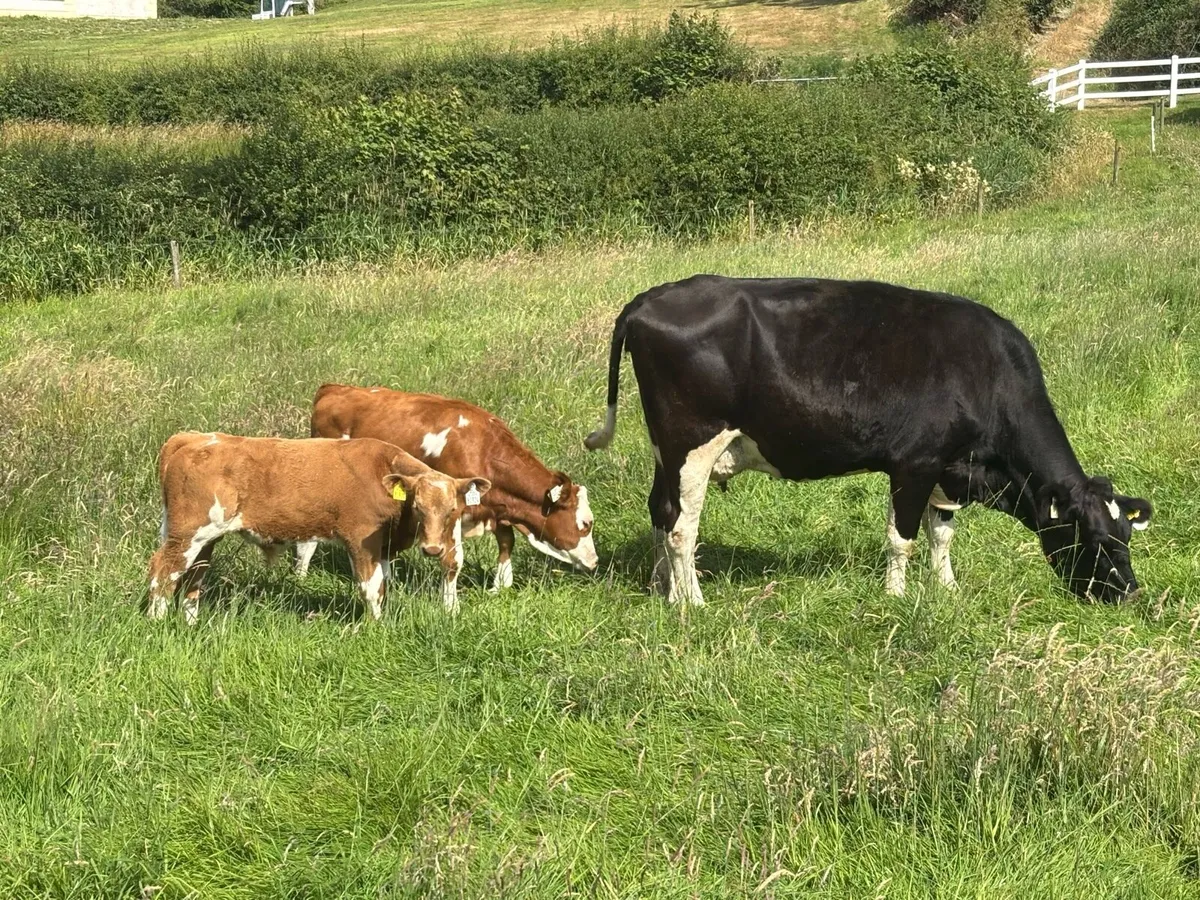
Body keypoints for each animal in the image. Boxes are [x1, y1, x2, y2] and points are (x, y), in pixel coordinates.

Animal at [148, 432, 491, 624]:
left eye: (453, 510)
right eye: (418, 506)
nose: (433, 548)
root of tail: (192, 437)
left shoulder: (383, 545)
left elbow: (382, 586)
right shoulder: (360, 538)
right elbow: (369, 587)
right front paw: (376, 628)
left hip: (205, 537)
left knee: (193, 576)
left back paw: (190, 623)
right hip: (187, 533)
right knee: (163, 571)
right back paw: (156, 622)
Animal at [302, 383, 599, 608]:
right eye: (585, 524)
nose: (595, 562)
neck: (483, 449)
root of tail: (334, 388)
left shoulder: (495, 507)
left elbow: (506, 542)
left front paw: (501, 585)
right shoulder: (452, 509)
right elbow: (453, 560)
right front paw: (450, 606)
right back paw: (301, 575)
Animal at [584, 275, 1153, 605]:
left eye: (1126, 535)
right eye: (1095, 539)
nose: (1130, 594)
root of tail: (648, 298)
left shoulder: (950, 467)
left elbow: (941, 534)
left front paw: (946, 589)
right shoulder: (916, 462)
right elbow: (902, 538)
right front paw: (896, 597)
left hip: (665, 449)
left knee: (659, 512)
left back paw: (661, 589)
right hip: (693, 444)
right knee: (683, 527)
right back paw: (692, 603)